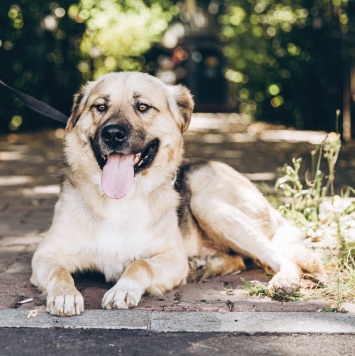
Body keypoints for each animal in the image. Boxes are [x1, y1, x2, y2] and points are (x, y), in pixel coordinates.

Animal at [30, 71, 324, 316]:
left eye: (142, 107)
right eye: (100, 107)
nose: (112, 134)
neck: (122, 201)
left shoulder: (172, 259)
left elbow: (140, 264)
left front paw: (123, 289)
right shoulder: (46, 254)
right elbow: (59, 271)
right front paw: (65, 294)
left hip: (211, 206)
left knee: (278, 256)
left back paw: (283, 277)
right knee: (240, 259)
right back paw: (204, 265)